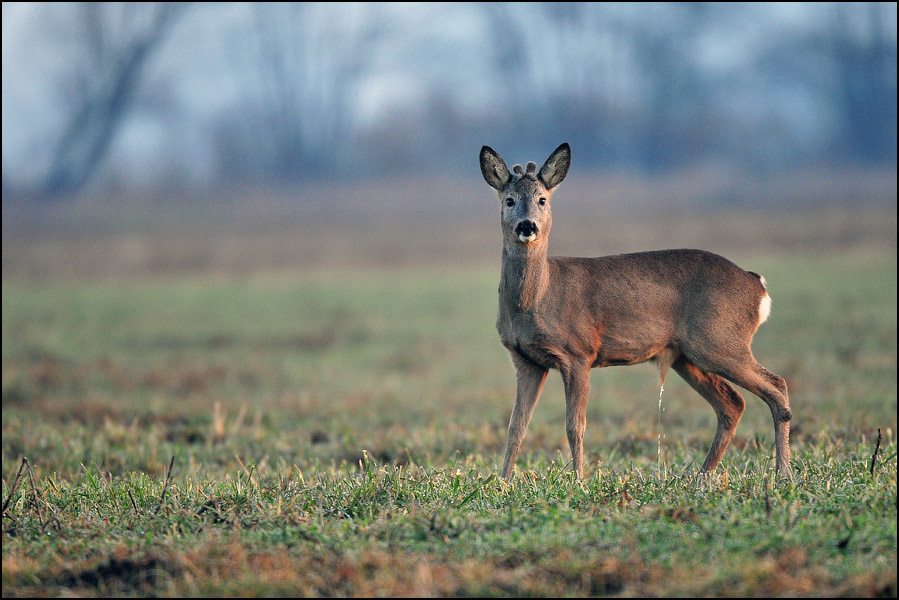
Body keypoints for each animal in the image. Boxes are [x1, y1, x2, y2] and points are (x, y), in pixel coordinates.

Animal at [482, 143, 792, 480]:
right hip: (687, 356)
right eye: (509, 200)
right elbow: (516, 427)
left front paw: (579, 480)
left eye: (542, 199)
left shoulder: (578, 353)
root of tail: (757, 284)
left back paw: (783, 473)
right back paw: (701, 476)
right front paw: (503, 481)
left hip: (719, 341)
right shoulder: (526, 360)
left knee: (776, 387)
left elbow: (575, 426)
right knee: (732, 403)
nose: (527, 226)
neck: (538, 299)